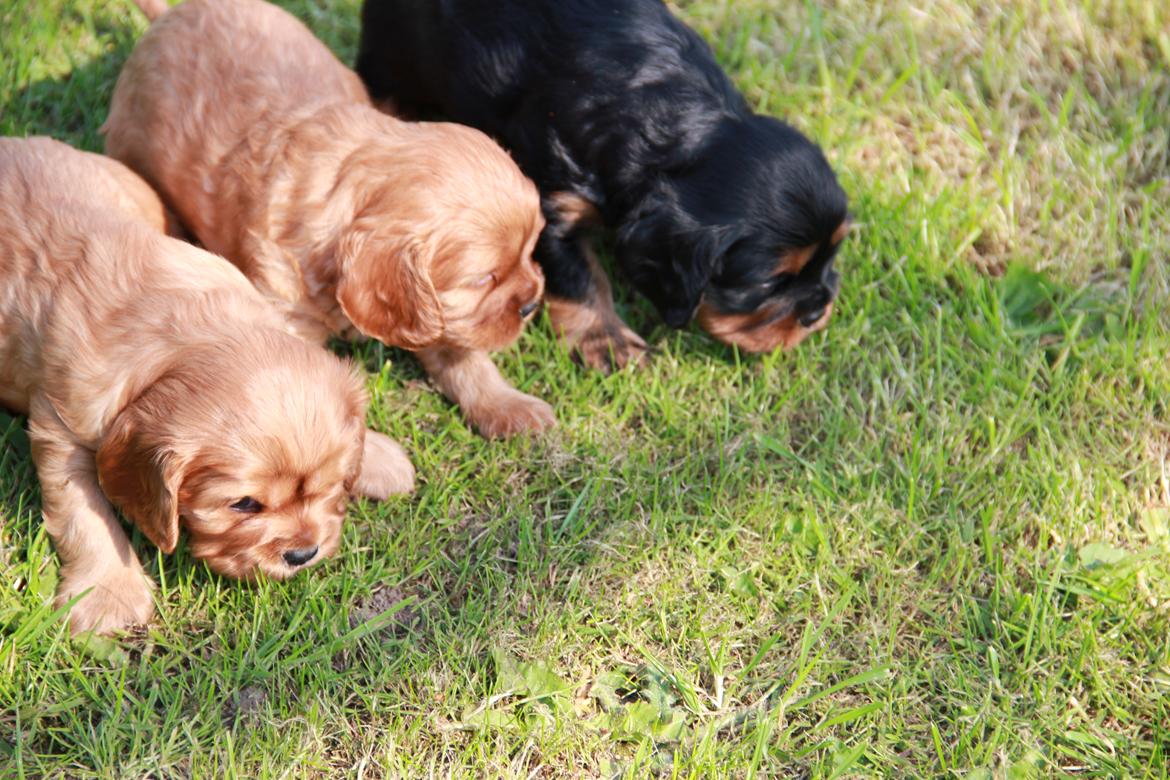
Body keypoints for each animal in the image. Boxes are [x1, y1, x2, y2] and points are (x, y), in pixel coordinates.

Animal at [0, 135, 411, 636]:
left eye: (325, 487)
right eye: (244, 504)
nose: (303, 554)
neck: (191, 338)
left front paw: (380, 457)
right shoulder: (59, 422)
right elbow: (84, 511)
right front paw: (109, 595)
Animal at [104, 0, 552, 442]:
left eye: (532, 249)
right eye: (483, 279)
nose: (532, 304)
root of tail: (169, 14)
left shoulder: (436, 316)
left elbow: (463, 352)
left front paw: (511, 407)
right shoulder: (286, 310)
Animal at [351, 0, 847, 369]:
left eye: (832, 256)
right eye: (768, 282)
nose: (816, 311)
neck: (680, 125)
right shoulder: (554, 201)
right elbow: (582, 277)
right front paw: (606, 341)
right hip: (393, 51)